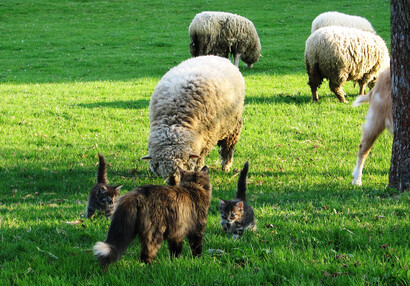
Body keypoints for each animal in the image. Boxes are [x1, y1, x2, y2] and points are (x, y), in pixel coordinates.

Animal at [142, 55, 243, 185]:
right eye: (159, 164)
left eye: (184, 163)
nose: (173, 181)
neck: (174, 121)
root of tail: (216, 56)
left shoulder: (206, 140)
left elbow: (200, 159)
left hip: (233, 125)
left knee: (228, 146)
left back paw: (226, 165)